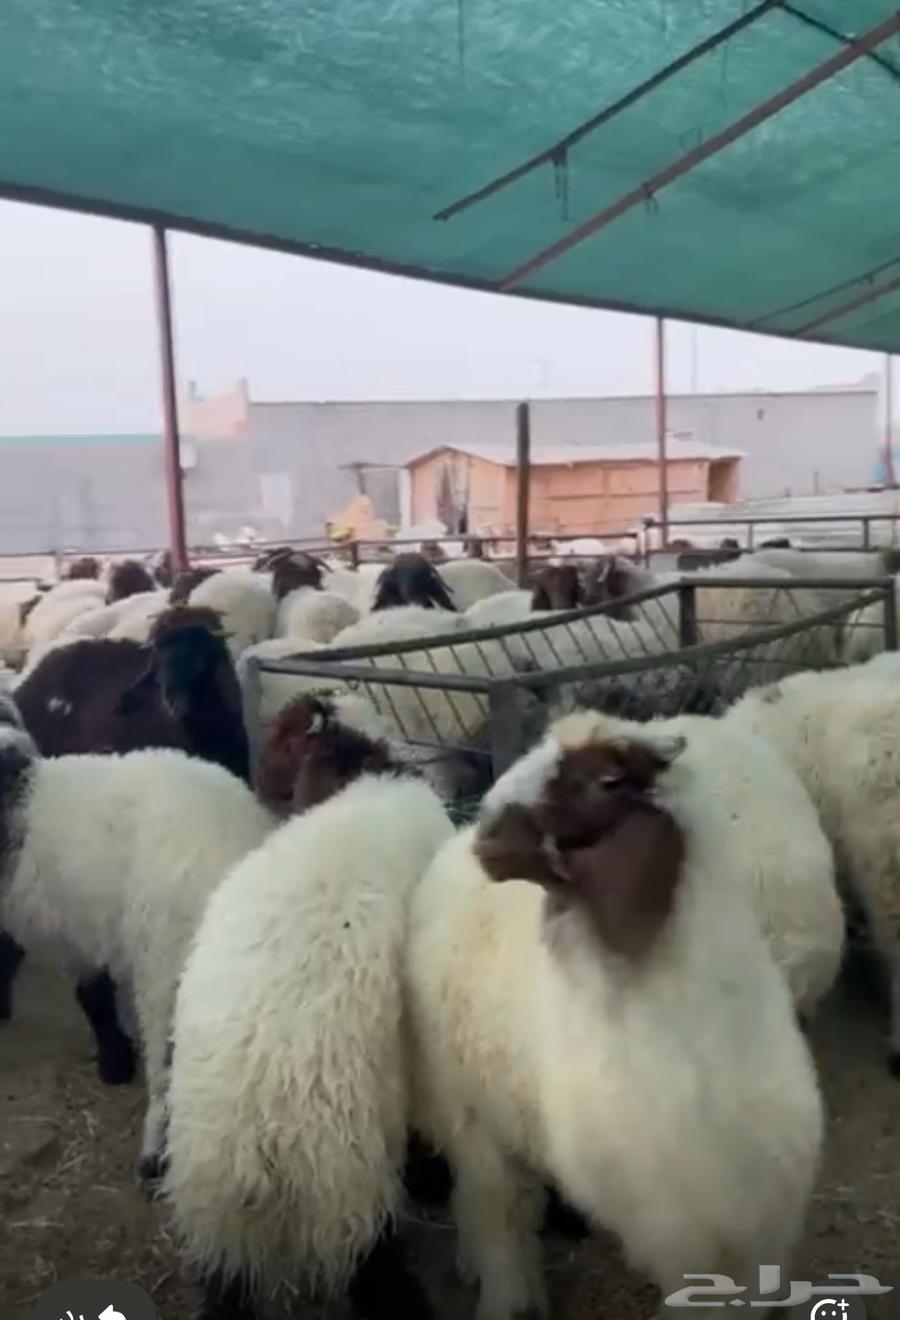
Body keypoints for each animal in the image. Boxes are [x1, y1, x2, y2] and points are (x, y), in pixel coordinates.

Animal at [404, 712, 823, 1320]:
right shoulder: (677, 1228)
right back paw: (505, 1292)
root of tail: (449, 848)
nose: (486, 835)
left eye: (607, 781)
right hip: (470, 1106)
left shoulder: (760, 1218)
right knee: (496, 1209)